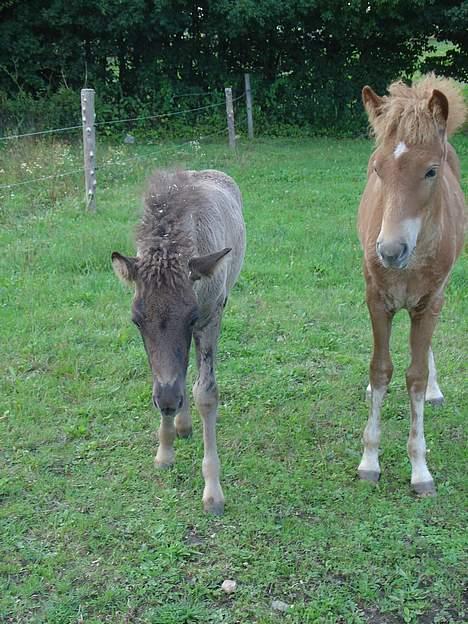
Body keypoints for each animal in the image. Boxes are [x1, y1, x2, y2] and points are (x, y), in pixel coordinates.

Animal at [358, 74, 464, 492]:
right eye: (377, 169)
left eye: (431, 171)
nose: (390, 250)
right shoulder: (377, 301)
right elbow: (380, 369)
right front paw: (369, 461)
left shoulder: (429, 302)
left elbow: (415, 377)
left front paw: (420, 468)